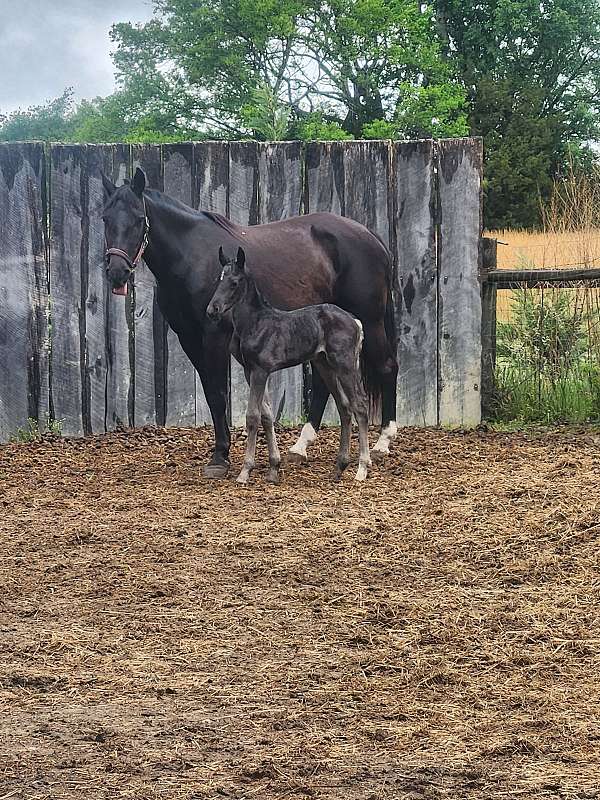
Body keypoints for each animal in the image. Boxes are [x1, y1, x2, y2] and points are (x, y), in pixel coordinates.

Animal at [207, 246, 371, 483]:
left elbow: (253, 416)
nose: (212, 310)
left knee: (359, 405)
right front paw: (273, 469)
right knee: (344, 407)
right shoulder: (250, 371)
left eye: (235, 282)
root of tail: (355, 321)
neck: (255, 323)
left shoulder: (260, 371)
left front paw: (246, 471)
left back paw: (362, 468)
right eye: (218, 280)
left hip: (345, 365)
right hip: (324, 365)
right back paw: (339, 467)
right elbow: (267, 415)